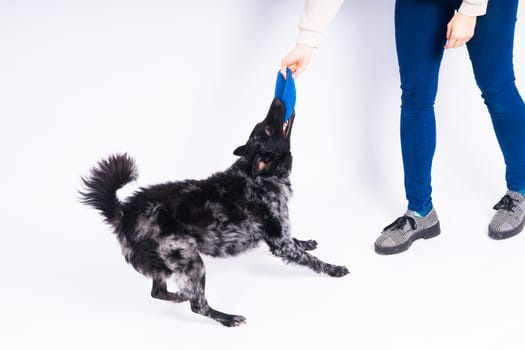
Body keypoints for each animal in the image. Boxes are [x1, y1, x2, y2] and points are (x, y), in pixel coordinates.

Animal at [80, 98, 348, 326]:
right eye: (266, 130)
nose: (277, 100)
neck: (257, 175)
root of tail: (124, 212)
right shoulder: (280, 243)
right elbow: (311, 260)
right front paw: (333, 269)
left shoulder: (282, 234)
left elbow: (299, 242)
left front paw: (307, 242)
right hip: (190, 259)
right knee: (197, 305)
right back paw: (227, 318)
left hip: (166, 263)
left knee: (159, 292)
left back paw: (180, 296)